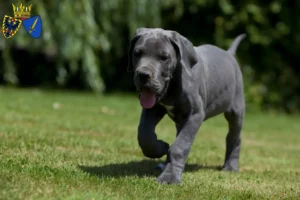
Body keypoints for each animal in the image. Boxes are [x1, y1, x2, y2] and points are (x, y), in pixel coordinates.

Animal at [126, 28, 246, 184]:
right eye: (137, 53)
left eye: (164, 57)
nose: (143, 75)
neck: (173, 85)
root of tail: (229, 53)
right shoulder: (153, 109)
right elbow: (144, 134)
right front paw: (161, 148)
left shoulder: (195, 114)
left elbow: (180, 146)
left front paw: (170, 177)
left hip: (236, 110)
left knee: (234, 137)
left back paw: (231, 166)